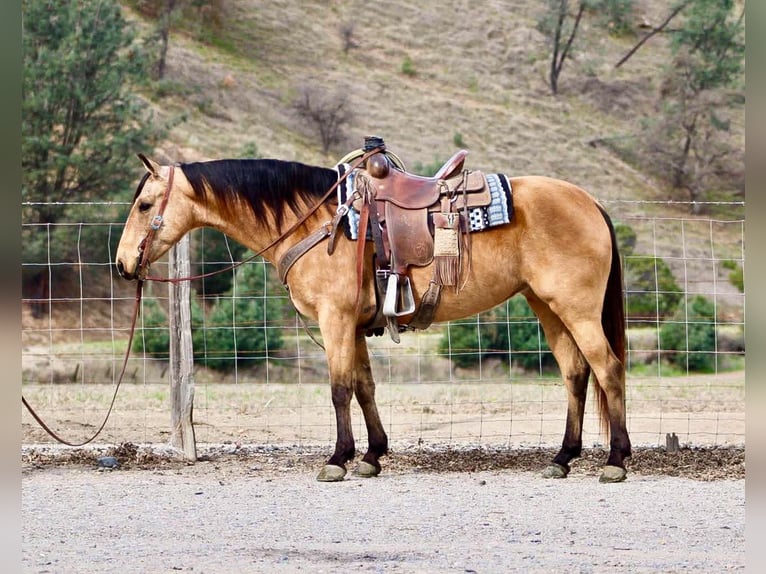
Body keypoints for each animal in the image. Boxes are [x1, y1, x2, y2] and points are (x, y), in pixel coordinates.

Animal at [112, 142, 632, 484]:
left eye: (144, 204)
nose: (121, 264)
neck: (321, 220)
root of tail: (591, 202)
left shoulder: (336, 320)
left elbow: (340, 389)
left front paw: (337, 459)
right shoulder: (357, 325)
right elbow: (364, 387)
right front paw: (372, 456)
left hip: (576, 308)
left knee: (607, 369)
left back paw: (615, 461)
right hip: (547, 306)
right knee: (575, 373)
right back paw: (562, 458)